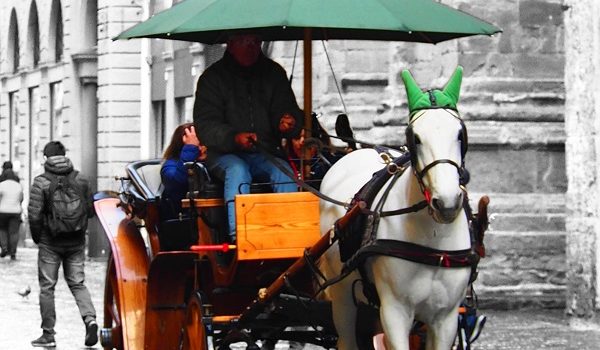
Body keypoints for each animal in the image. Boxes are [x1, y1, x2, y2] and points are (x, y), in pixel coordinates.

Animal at [318, 67, 474, 348]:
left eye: (460, 133)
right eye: (415, 137)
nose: (447, 202)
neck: (432, 241)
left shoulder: (445, 319)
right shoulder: (394, 312)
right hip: (343, 295)